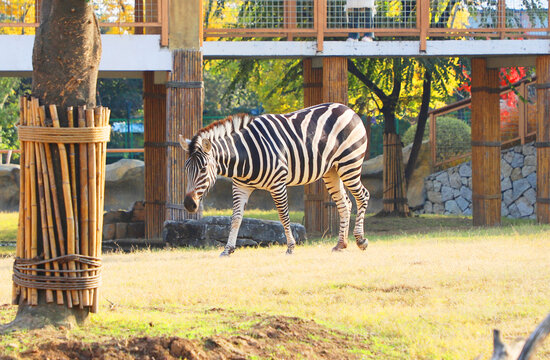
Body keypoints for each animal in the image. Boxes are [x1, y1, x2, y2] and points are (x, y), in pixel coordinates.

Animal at [180, 102, 370, 258]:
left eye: (203, 169)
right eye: (186, 169)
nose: (189, 204)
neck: (245, 153)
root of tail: (347, 109)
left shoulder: (278, 183)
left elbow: (283, 215)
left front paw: (291, 247)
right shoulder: (240, 186)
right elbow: (235, 218)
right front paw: (228, 249)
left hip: (349, 163)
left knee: (363, 196)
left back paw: (360, 240)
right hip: (331, 170)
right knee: (345, 203)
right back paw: (340, 244)